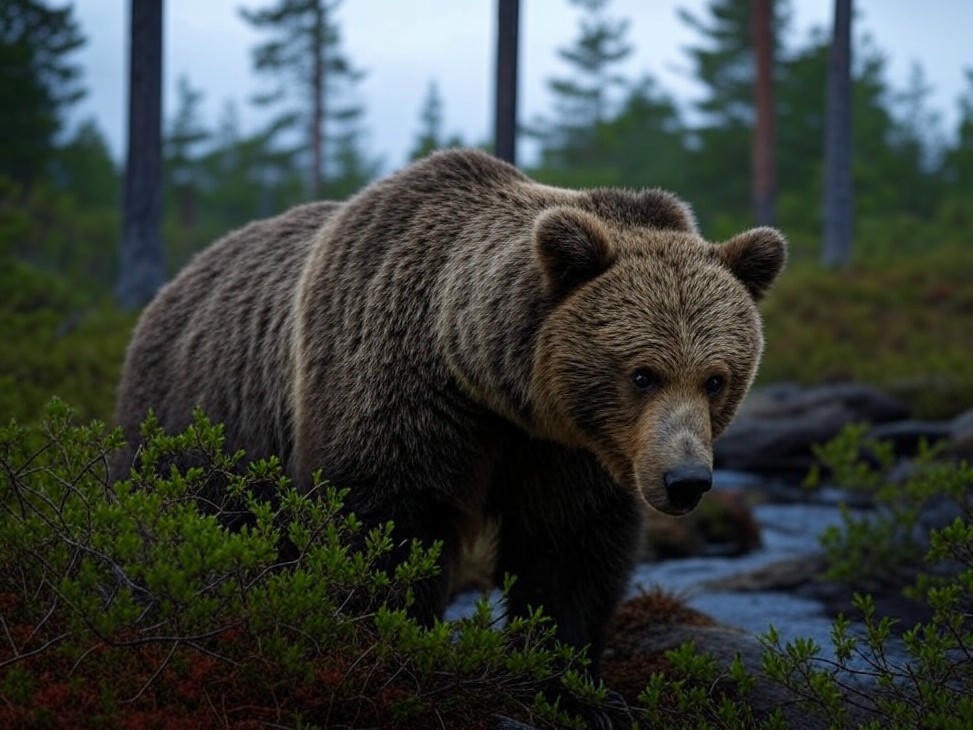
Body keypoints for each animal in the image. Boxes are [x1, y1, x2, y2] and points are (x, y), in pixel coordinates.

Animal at [114, 149, 786, 680]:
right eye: (642, 373)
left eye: (716, 378)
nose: (686, 480)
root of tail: (174, 285)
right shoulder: (396, 394)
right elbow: (381, 533)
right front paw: (385, 649)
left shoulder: (571, 450)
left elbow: (569, 553)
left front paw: (565, 677)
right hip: (201, 427)